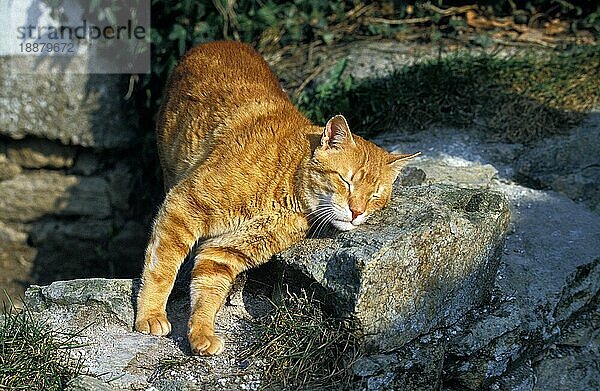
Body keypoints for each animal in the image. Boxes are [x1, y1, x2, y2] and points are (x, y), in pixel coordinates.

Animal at [135, 41, 420, 356]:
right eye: (346, 180)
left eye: (374, 195)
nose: (356, 212)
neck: (287, 190)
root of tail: (218, 42)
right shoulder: (184, 206)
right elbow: (162, 268)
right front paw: (151, 314)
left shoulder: (225, 250)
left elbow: (207, 291)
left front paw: (201, 332)